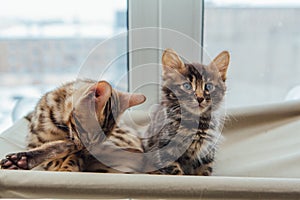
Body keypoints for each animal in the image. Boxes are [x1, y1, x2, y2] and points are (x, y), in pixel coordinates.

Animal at [0, 79, 145, 171]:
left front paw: (67, 168)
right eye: (85, 134)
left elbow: (68, 155)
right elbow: (57, 152)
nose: (87, 150)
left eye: (97, 141)